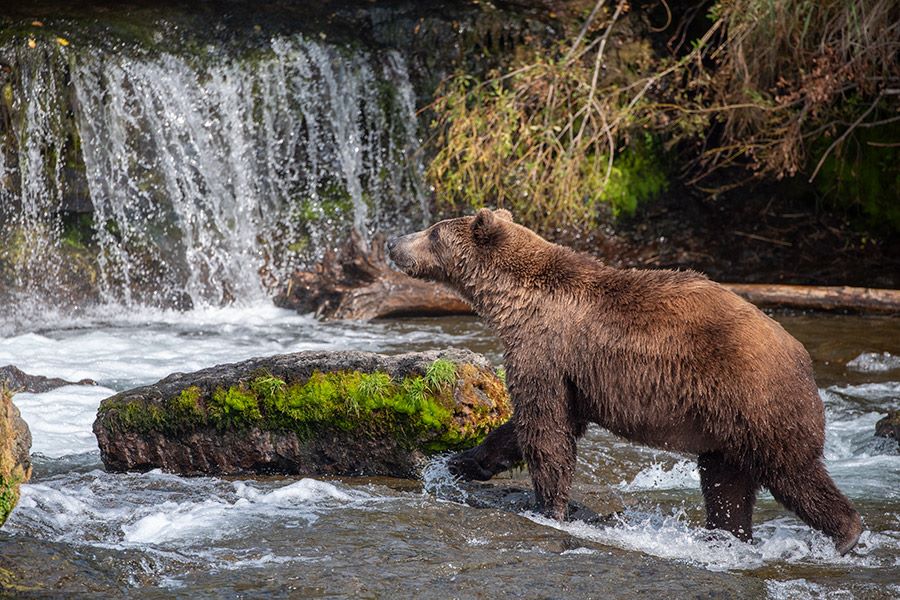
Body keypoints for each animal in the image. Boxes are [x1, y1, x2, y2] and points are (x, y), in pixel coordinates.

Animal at [386, 209, 864, 556]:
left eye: (433, 232)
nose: (392, 242)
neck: (513, 302)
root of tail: (803, 357)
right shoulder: (569, 375)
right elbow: (527, 429)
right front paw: (458, 461)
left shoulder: (545, 350)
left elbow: (545, 428)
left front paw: (548, 507)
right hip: (725, 428)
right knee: (725, 485)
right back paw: (724, 538)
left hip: (756, 399)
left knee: (793, 472)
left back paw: (846, 533)